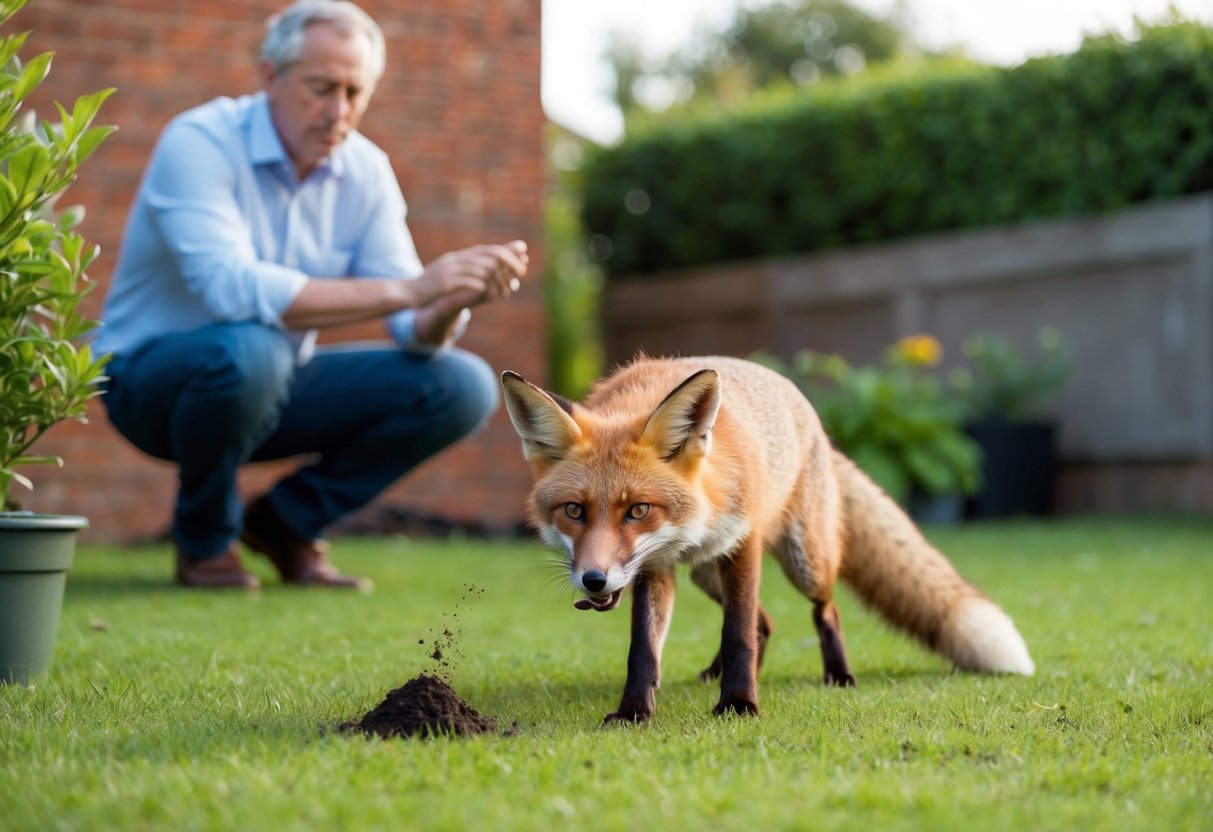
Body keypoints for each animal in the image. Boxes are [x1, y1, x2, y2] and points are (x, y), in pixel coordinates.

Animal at [500, 355, 1035, 725]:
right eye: (574, 511)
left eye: (637, 510)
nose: (594, 580)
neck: (701, 511)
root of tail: (814, 420)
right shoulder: (655, 566)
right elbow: (644, 648)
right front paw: (635, 711)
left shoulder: (744, 545)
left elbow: (736, 634)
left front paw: (739, 704)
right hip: (704, 575)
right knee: (767, 622)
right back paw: (714, 674)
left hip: (804, 562)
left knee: (822, 610)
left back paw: (837, 675)